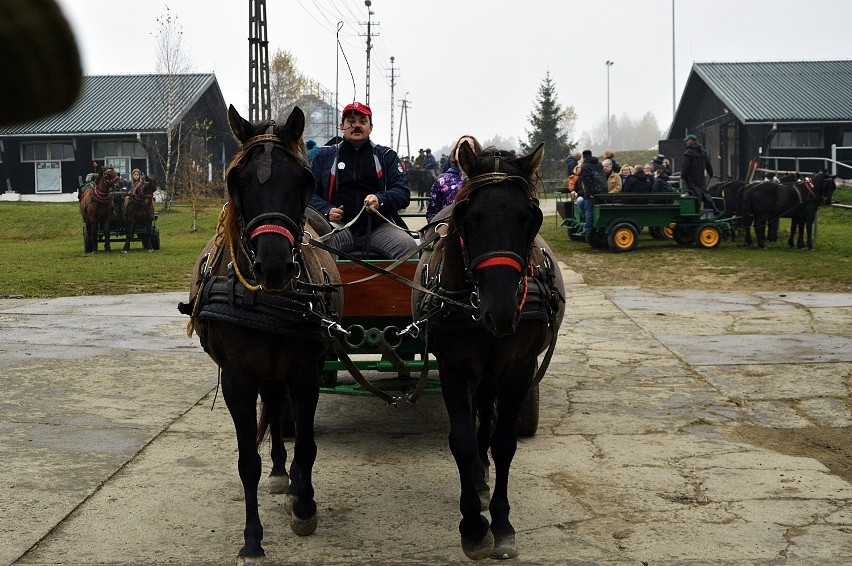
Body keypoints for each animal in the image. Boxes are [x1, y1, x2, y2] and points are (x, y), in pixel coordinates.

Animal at [181, 106, 342, 566]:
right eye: (237, 180)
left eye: (303, 180)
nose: (273, 265)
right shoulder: (239, 379)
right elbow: (246, 461)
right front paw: (252, 540)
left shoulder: (306, 373)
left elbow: (307, 444)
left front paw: (304, 506)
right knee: (271, 404)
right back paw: (278, 471)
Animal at [412, 143, 564, 564]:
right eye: (469, 218)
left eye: (531, 217)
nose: (502, 311)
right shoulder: (454, 368)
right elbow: (461, 440)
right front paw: (472, 525)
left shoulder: (518, 368)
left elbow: (504, 441)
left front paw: (502, 523)